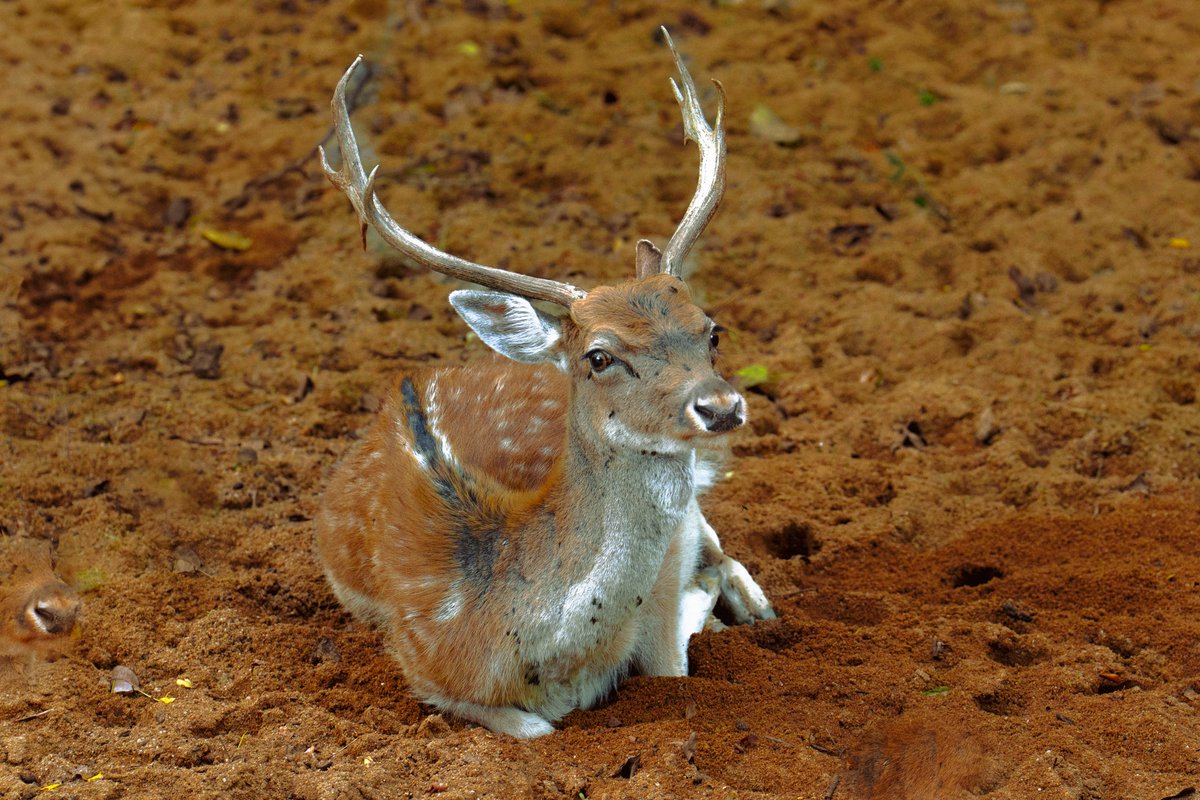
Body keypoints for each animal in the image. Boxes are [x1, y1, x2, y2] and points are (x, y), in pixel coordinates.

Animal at [315, 28, 774, 738]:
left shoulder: (661, 623)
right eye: (599, 356)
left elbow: (676, 654)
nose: (720, 406)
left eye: (712, 329)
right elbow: (533, 729)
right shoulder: (423, 666)